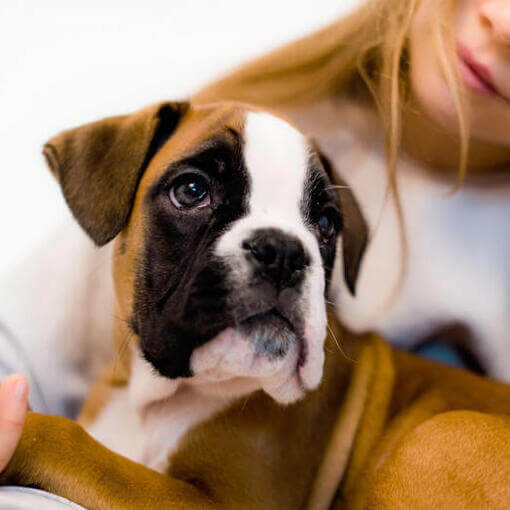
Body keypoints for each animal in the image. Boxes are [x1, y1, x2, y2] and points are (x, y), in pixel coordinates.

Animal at [0, 101, 510, 508]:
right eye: (191, 191)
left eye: (327, 223)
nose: (283, 251)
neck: (158, 399)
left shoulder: (213, 502)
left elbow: (79, 447)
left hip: (435, 435)